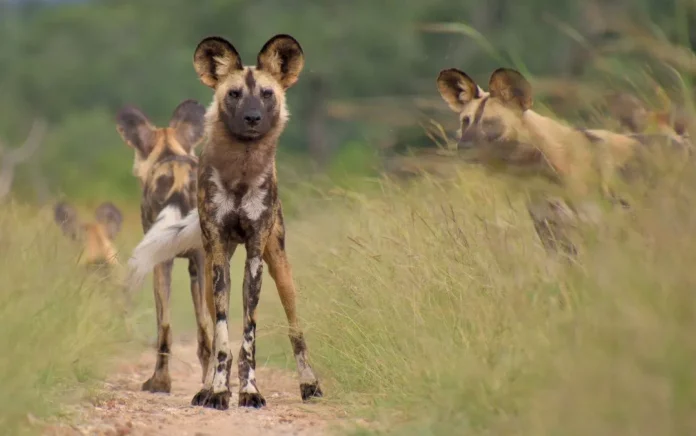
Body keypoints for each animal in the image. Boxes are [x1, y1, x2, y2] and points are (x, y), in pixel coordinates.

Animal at [115, 99, 212, 396]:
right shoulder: (196, 264)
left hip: (162, 263)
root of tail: (178, 174)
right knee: (206, 325)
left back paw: (159, 382)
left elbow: (163, 327)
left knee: (167, 328)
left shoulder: (163, 262)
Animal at [125, 33, 324, 408]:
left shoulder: (256, 255)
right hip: (208, 269)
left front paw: (250, 391)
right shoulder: (216, 254)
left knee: (295, 330)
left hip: (280, 267)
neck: (241, 172)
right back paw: (206, 389)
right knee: (211, 336)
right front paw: (218, 390)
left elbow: (248, 337)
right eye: (233, 94)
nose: (252, 117)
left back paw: (309, 384)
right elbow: (220, 335)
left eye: (267, 93)